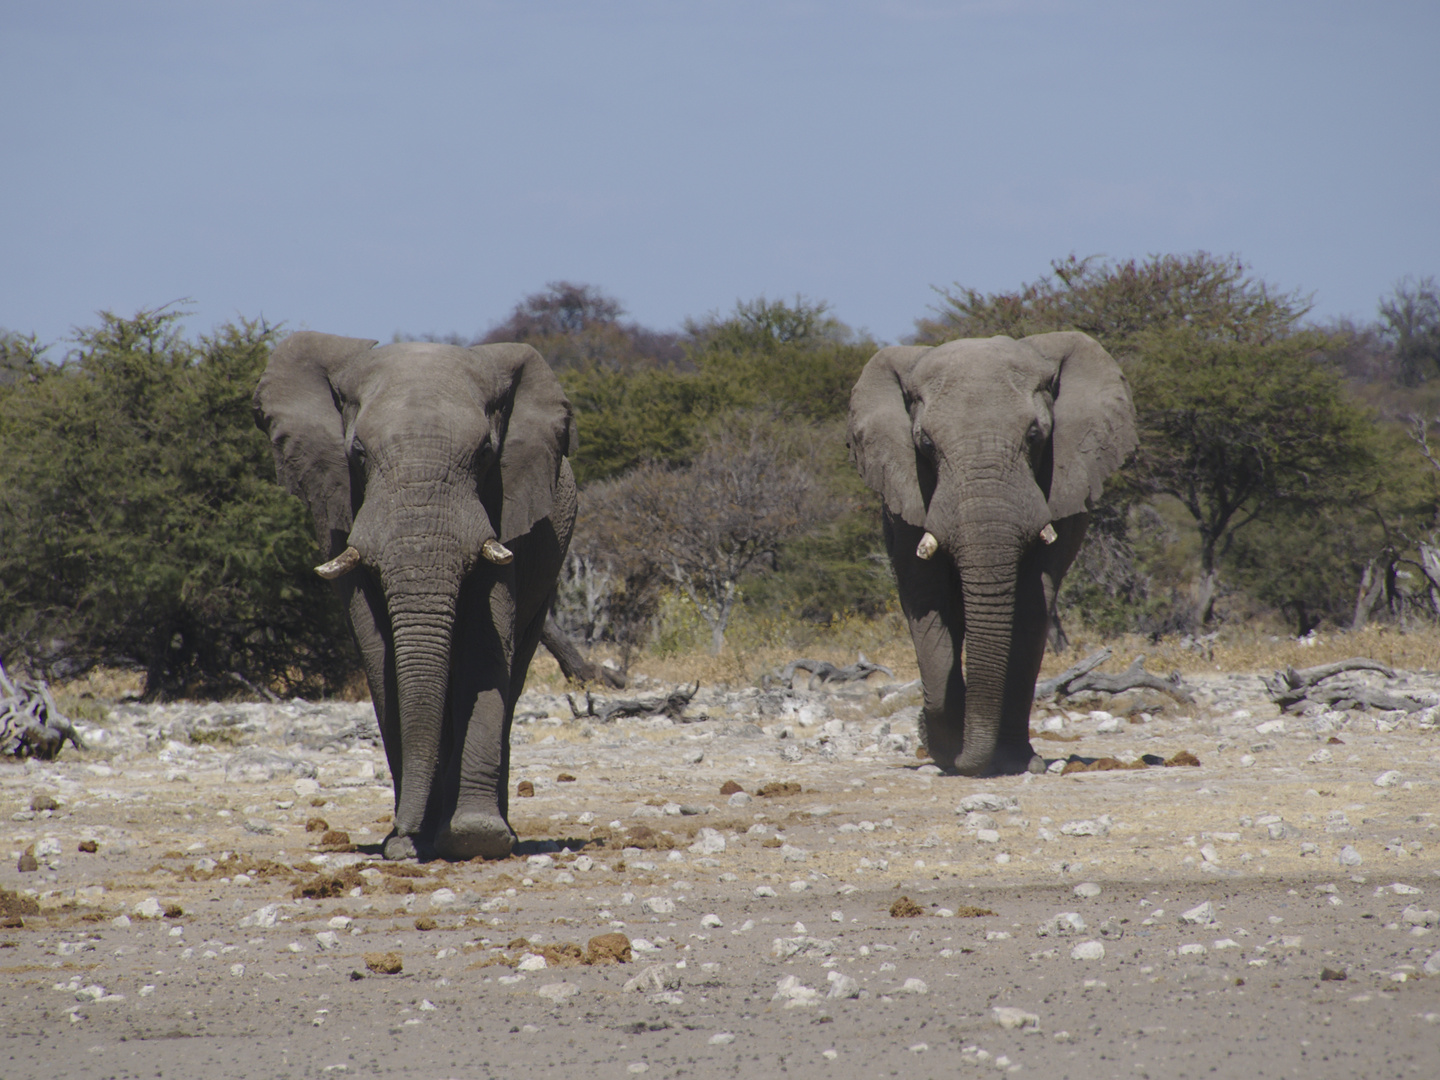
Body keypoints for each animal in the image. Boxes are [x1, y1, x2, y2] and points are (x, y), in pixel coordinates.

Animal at [256, 334, 576, 858]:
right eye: (358, 453)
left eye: (485, 454)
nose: (400, 835)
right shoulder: (342, 518)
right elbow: (378, 653)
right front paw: (409, 843)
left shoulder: (506, 511)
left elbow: (484, 646)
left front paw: (475, 837)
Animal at [840, 332, 1134, 777]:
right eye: (925, 444)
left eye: (1034, 436)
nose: (921, 727)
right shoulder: (903, 498)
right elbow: (929, 603)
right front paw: (947, 744)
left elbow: (1031, 605)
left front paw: (1013, 762)